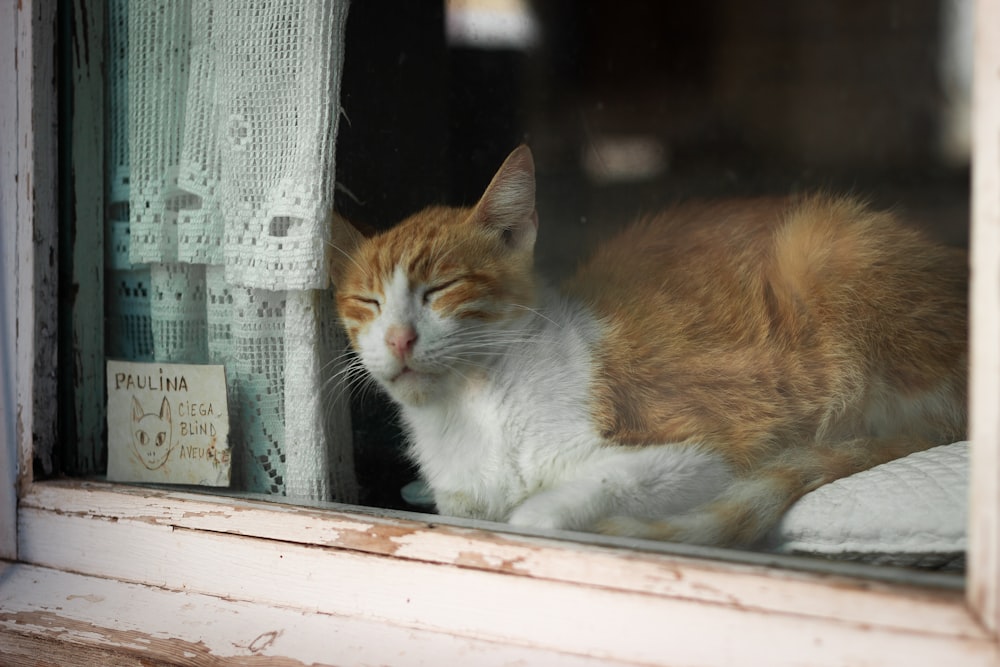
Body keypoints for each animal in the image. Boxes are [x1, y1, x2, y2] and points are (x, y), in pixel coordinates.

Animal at [330, 146, 968, 548]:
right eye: (367, 302)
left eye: (441, 288)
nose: (399, 337)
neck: (471, 414)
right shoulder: (459, 502)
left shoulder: (702, 453)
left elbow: (539, 514)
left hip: (823, 253)